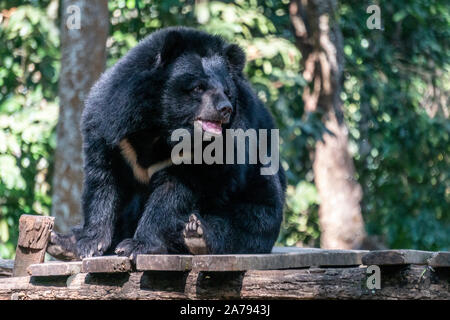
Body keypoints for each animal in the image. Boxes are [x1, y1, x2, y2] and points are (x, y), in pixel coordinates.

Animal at [48, 26, 284, 260]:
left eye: (227, 91)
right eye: (198, 87)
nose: (225, 108)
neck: (161, 127)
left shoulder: (206, 155)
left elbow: (172, 195)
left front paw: (136, 245)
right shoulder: (109, 126)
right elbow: (103, 180)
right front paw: (89, 243)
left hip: (261, 195)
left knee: (248, 221)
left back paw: (197, 234)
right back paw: (61, 241)